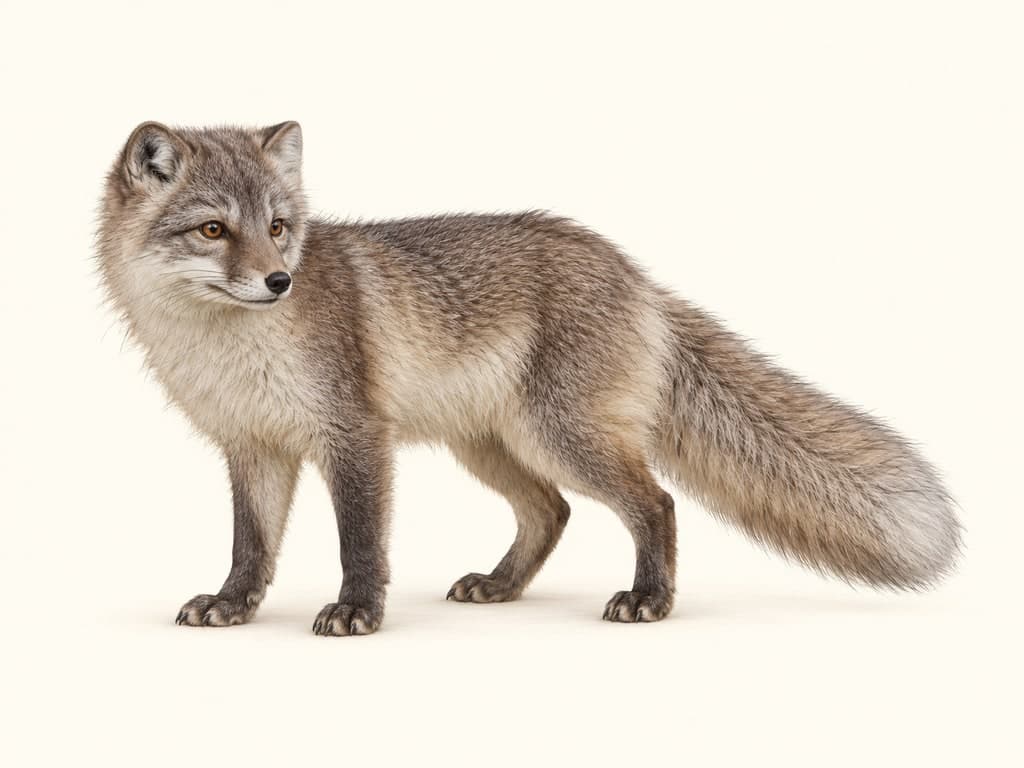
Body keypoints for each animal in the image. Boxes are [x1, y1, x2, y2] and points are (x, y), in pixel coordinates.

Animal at [96, 121, 961, 635]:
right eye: (214, 230)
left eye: (279, 228)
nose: (278, 281)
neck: (228, 350)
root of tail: (634, 274)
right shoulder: (253, 447)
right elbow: (251, 545)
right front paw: (233, 605)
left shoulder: (355, 437)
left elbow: (360, 543)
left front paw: (356, 611)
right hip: (493, 446)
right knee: (551, 512)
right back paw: (502, 586)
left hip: (560, 437)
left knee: (656, 503)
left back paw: (650, 599)